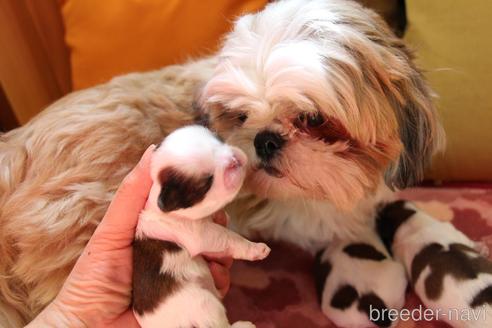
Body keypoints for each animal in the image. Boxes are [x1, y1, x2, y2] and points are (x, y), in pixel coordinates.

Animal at [133, 125, 268, 328]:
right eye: (207, 181)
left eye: (220, 140)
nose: (234, 160)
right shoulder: (201, 234)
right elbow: (230, 238)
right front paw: (256, 249)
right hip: (205, 305)